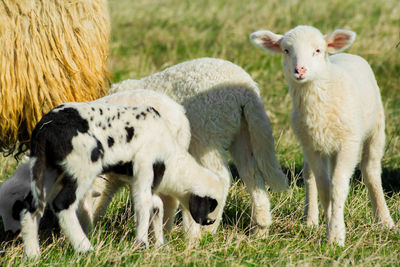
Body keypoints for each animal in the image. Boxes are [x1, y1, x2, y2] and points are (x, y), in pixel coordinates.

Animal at [18, 101, 223, 258]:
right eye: (211, 204)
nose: (209, 223)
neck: (171, 160)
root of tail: (44, 128)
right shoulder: (144, 167)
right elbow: (143, 204)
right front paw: (141, 245)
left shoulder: (142, 180)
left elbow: (156, 205)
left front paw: (160, 244)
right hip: (83, 167)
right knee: (62, 204)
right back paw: (86, 249)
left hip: (47, 168)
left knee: (31, 206)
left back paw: (33, 254)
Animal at [109, 58, 288, 239]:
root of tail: (245, 92)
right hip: (241, 131)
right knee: (251, 173)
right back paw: (260, 227)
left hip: (208, 134)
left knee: (221, 177)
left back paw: (209, 229)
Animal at [250, 25, 394, 247]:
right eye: (286, 50)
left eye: (317, 50)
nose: (300, 70)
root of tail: (345, 54)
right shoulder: (312, 146)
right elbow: (325, 189)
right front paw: (330, 226)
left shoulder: (348, 144)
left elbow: (338, 188)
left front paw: (336, 235)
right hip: (314, 144)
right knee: (309, 176)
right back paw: (310, 219)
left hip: (375, 130)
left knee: (371, 172)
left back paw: (384, 220)